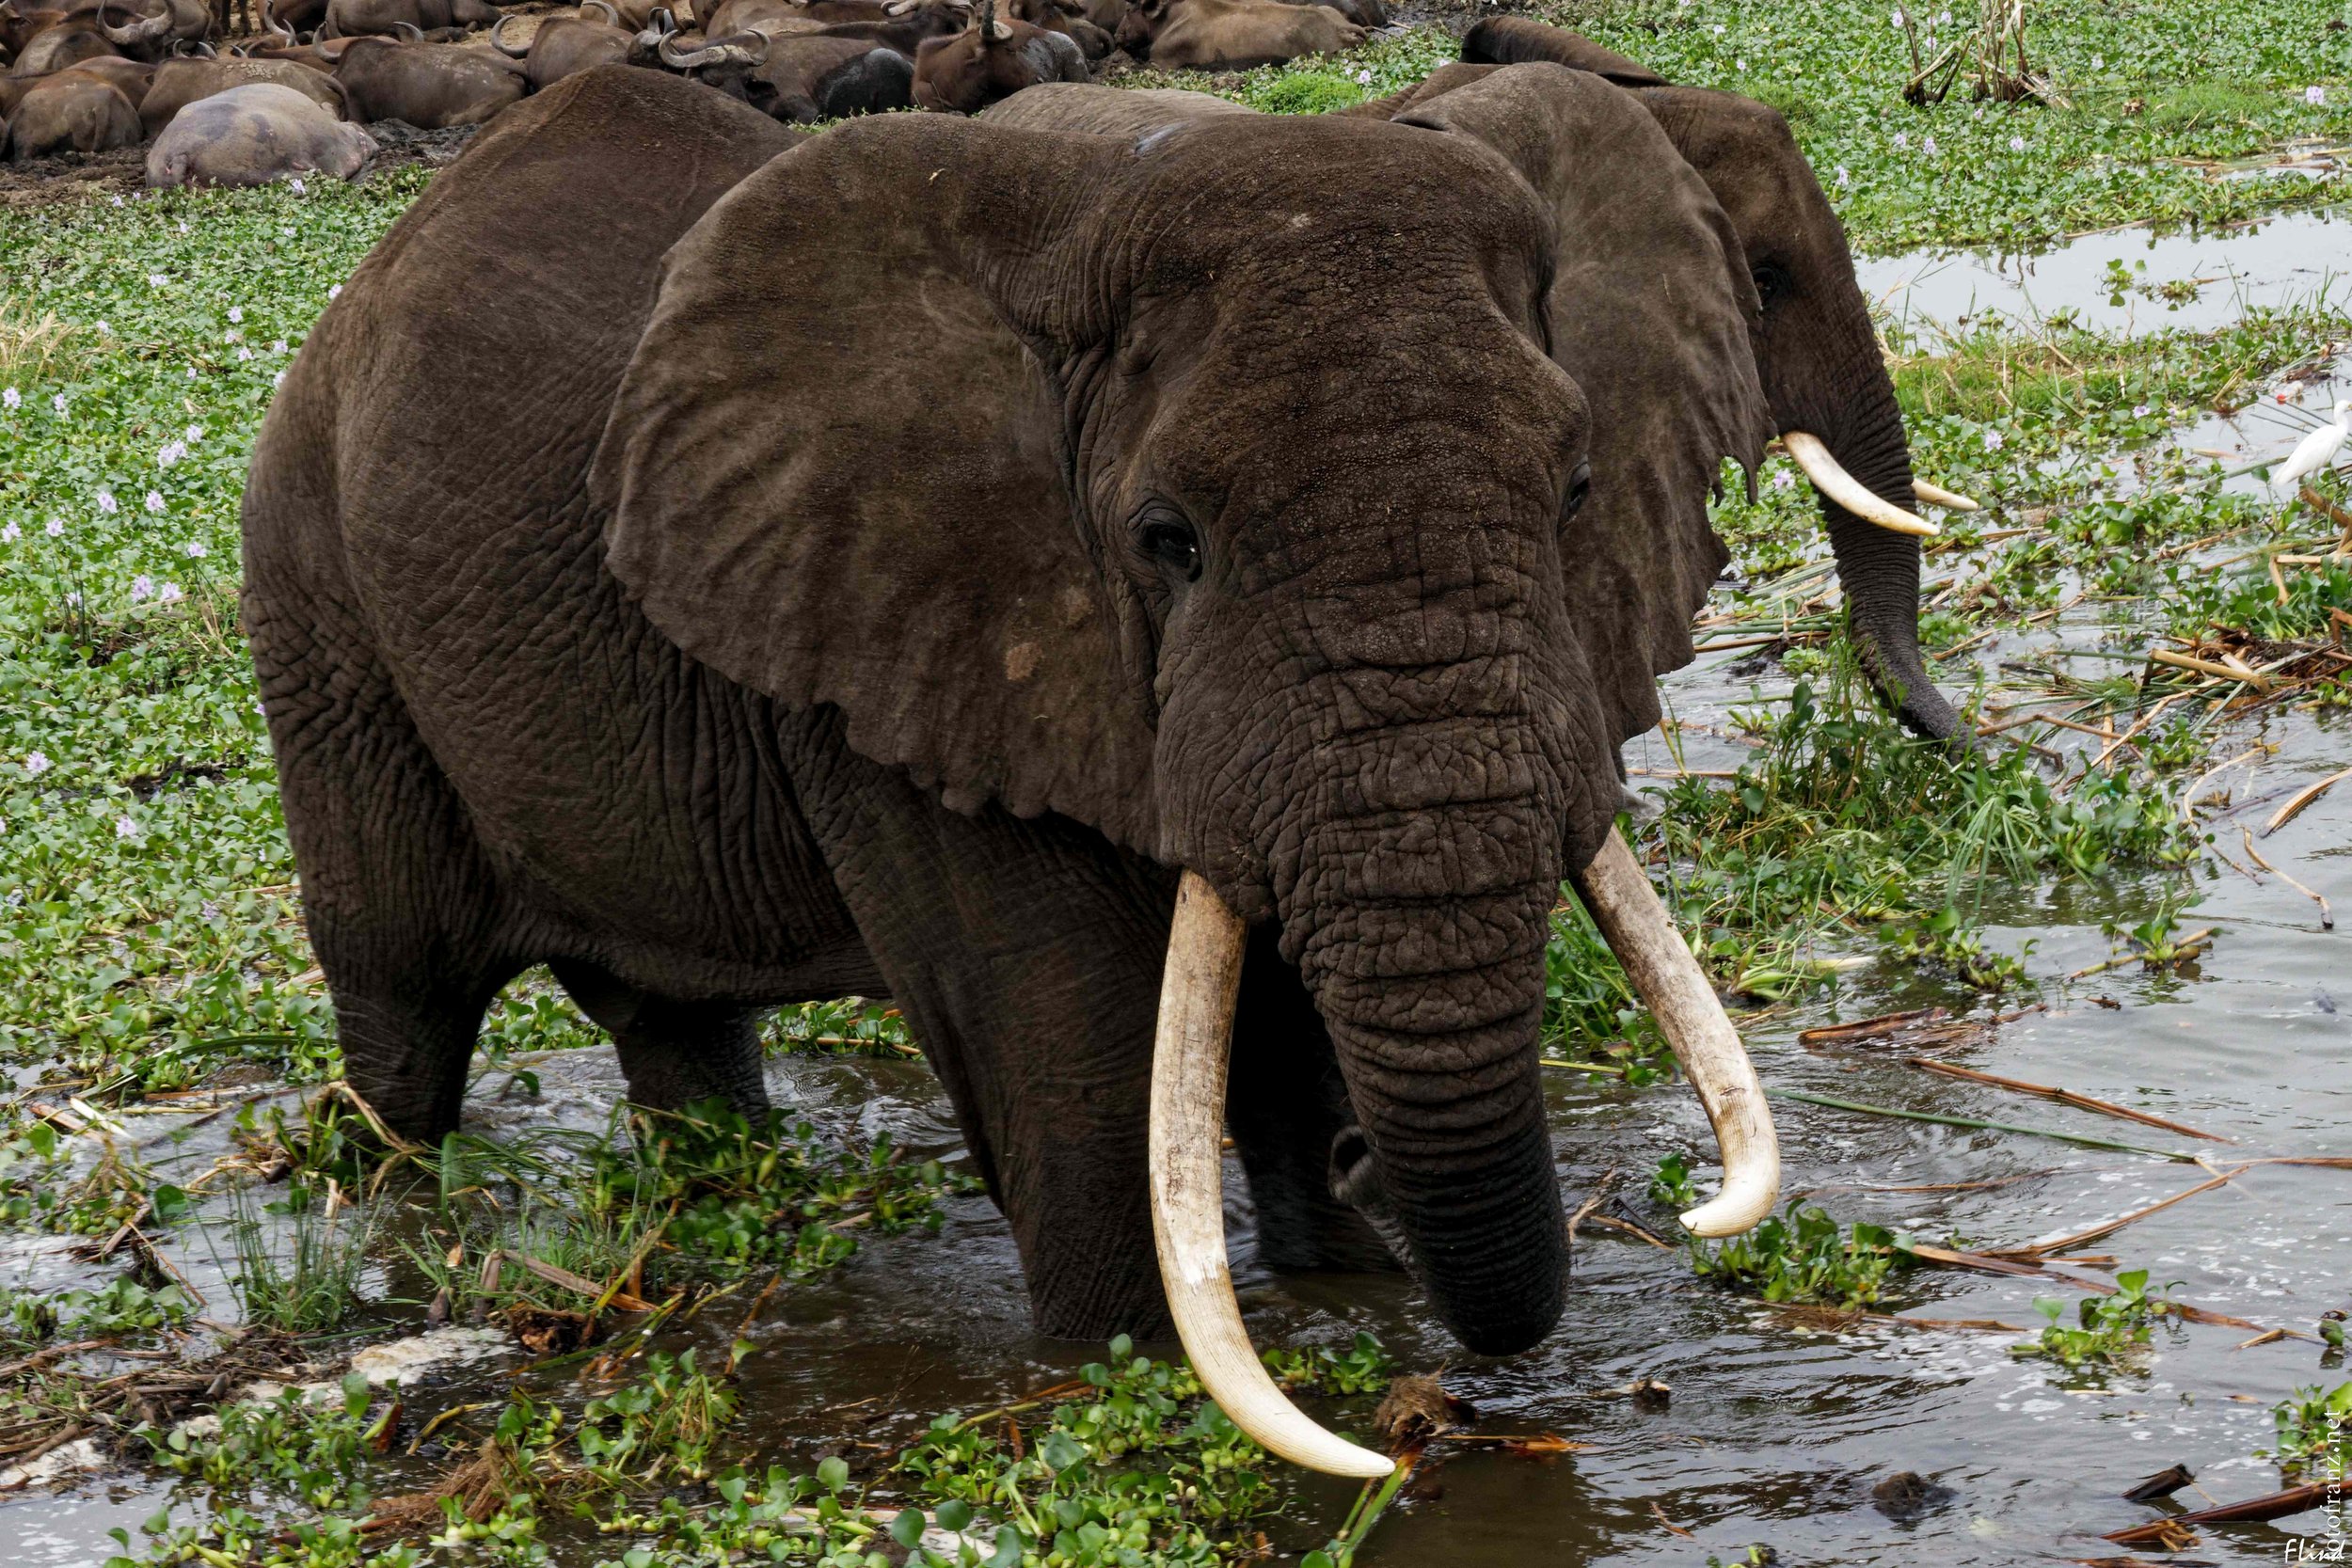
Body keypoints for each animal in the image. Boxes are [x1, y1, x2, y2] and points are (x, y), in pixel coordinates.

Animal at [243, 61, 1782, 1475]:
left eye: (1575, 491)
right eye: (1169, 540)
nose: (1367, 1175)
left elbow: (1265, 1009)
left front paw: (1340, 1275)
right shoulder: (904, 635)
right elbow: (1077, 1052)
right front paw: (1132, 1359)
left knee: (668, 1014)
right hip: (313, 593)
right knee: (403, 993)